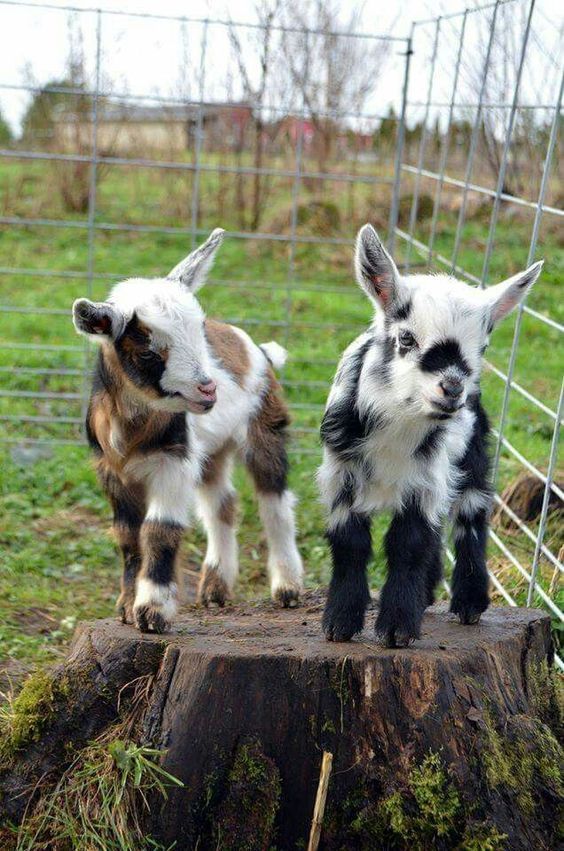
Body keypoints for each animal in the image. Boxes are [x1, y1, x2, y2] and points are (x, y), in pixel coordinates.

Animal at [75, 230, 306, 636]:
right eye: (147, 351)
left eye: (200, 331)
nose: (208, 389)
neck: (134, 430)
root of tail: (258, 349)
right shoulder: (111, 471)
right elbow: (127, 535)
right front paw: (125, 606)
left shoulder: (173, 461)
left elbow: (158, 529)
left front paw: (152, 611)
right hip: (212, 451)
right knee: (222, 504)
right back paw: (215, 588)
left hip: (265, 427)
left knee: (274, 501)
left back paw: (288, 587)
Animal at [318, 223, 540, 648]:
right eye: (406, 339)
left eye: (483, 347)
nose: (452, 388)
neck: (397, 429)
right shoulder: (340, 473)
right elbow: (351, 541)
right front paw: (339, 622)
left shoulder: (427, 477)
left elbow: (408, 543)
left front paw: (397, 628)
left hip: (471, 458)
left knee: (471, 515)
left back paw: (469, 603)